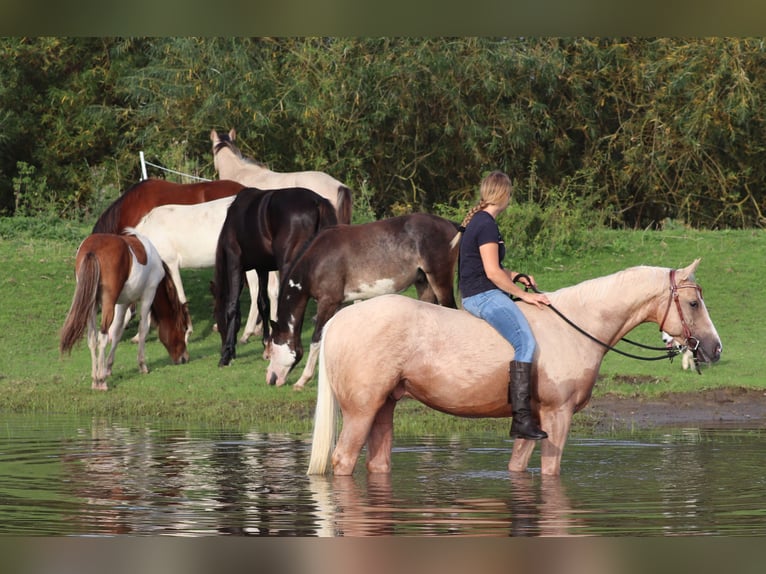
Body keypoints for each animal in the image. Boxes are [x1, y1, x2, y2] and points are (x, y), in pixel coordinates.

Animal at [60, 231, 192, 392]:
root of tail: (92, 249)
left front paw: (108, 367)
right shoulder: (148, 294)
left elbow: (117, 332)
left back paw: (95, 379)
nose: (184, 358)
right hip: (107, 304)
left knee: (92, 338)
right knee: (102, 337)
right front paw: (142, 365)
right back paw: (101, 381)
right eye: (183, 329)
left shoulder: (123, 303)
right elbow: (143, 329)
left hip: (91, 305)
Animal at [213, 189, 340, 368]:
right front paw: (266, 346)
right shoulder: (262, 268)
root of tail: (317, 201)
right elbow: (263, 304)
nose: (223, 348)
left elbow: (232, 307)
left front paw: (226, 355)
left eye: (217, 317)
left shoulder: (234, 263)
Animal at [266, 215, 462, 392]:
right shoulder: (338, 305)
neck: (315, 260)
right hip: (424, 284)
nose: (271, 379)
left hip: (439, 281)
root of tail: (450, 224)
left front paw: (302, 380)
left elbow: (316, 340)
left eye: (272, 350)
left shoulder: (327, 303)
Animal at [308, 260, 728, 476]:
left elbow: (517, 466)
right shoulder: (558, 416)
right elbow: (551, 471)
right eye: (693, 303)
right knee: (342, 460)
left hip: (384, 408)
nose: (714, 349)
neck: (576, 326)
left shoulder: (534, 421)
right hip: (361, 412)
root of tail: (340, 320)